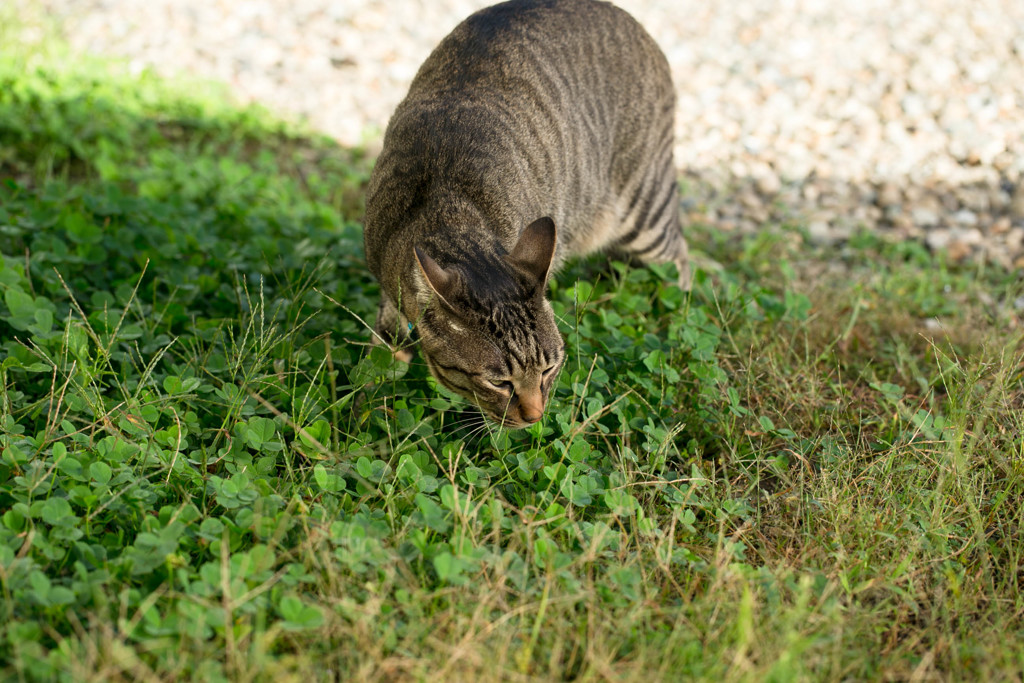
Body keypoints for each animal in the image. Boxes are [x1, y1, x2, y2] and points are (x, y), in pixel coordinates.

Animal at [360, 0, 688, 428]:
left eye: (549, 369)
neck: (448, 207)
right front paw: (369, 405)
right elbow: (383, 352)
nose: (535, 416)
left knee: (680, 259)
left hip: (645, 208)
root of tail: (628, 18)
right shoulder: (389, 290)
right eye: (499, 382)